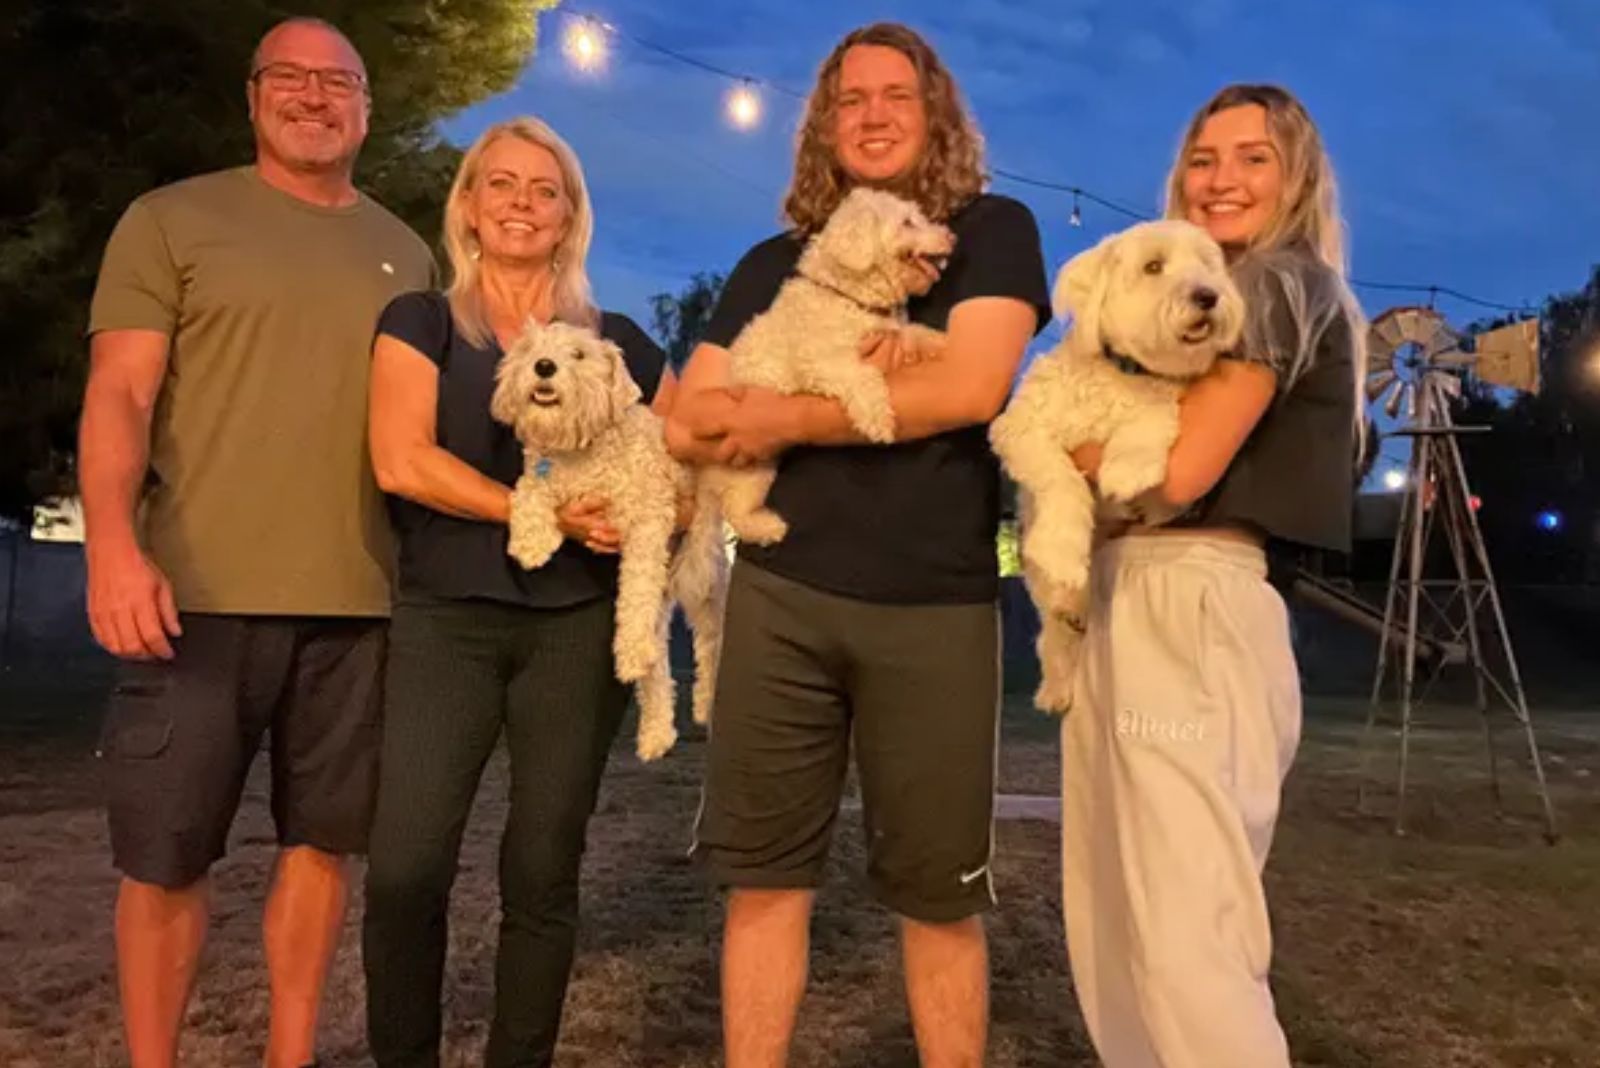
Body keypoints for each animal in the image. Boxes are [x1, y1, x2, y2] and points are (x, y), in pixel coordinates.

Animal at [489, 319, 729, 757]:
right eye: (530, 348)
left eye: (579, 354)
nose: (544, 365)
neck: (584, 450)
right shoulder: (544, 475)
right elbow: (528, 491)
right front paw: (531, 543)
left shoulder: (647, 526)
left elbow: (633, 599)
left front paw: (629, 648)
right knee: (660, 655)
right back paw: (656, 732)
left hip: (700, 567)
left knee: (709, 639)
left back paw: (703, 702)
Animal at [707, 183, 953, 543]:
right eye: (908, 222)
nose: (951, 236)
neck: (848, 297)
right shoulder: (822, 359)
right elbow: (862, 375)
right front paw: (878, 420)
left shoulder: (891, 330)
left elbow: (913, 332)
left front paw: (939, 342)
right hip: (748, 467)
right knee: (735, 510)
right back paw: (769, 527)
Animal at [985, 220, 1248, 713]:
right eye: (1153, 266)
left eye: (1207, 265)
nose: (1208, 295)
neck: (1124, 373)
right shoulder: (1021, 430)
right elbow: (1061, 479)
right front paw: (1063, 550)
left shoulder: (1164, 407)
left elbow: (1150, 424)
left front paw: (1127, 468)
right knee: (1054, 631)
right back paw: (1057, 680)